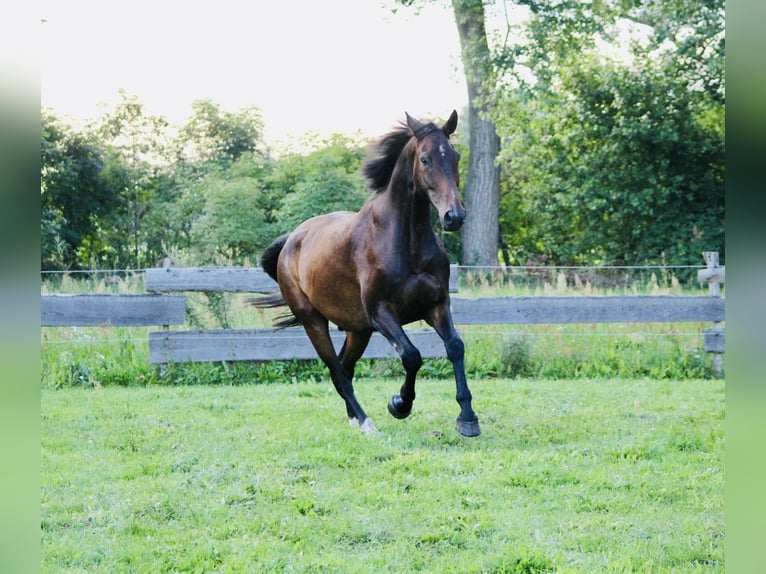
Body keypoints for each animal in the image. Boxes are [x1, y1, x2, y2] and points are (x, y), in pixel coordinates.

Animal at [252, 111, 480, 437]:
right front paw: (399, 404)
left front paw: (468, 418)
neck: (406, 243)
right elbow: (411, 356)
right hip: (314, 322)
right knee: (337, 371)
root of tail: (292, 241)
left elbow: (455, 348)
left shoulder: (436, 306)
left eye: (455, 156)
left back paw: (354, 419)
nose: (454, 216)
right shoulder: (381, 313)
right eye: (424, 159)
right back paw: (365, 421)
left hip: (357, 330)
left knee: (345, 367)